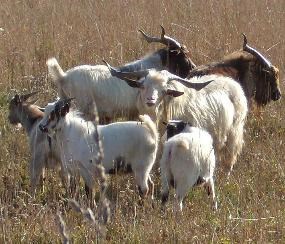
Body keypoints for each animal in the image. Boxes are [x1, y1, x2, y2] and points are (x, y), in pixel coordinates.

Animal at [105, 63, 247, 175]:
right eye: (143, 86)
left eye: (164, 90)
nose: (150, 100)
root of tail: (231, 82)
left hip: (234, 133)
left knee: (230, 159)